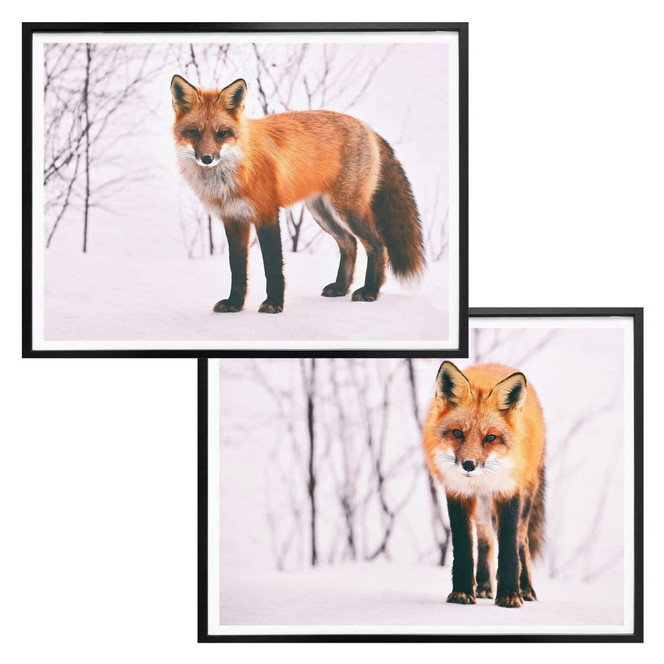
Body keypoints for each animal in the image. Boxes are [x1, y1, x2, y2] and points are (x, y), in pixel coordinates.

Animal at [170, 75, 424, 313]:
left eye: (222, 133)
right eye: (194, 132)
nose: (207, 158)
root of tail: (367, 127)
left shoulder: (267, 214)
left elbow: (272, 266)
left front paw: (274, 304)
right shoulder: (233, 219)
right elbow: (237, 269)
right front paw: (235, 304)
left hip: (348, 209)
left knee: (377, 245)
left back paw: (370, 290)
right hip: (322, 212)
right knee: (349, 243)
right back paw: (341, 287)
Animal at [422, 361, 546, 608]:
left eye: (490, 438)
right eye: (457, 433)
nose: (469, 465)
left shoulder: (508, 491)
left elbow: (509, 548)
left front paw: (509, 594)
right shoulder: (458, 493)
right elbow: (464, 547)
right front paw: (461, 592)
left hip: (526, 496)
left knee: (521, 541)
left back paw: (526, 588)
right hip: (482, 508)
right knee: (485, 540)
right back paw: (484, 586)